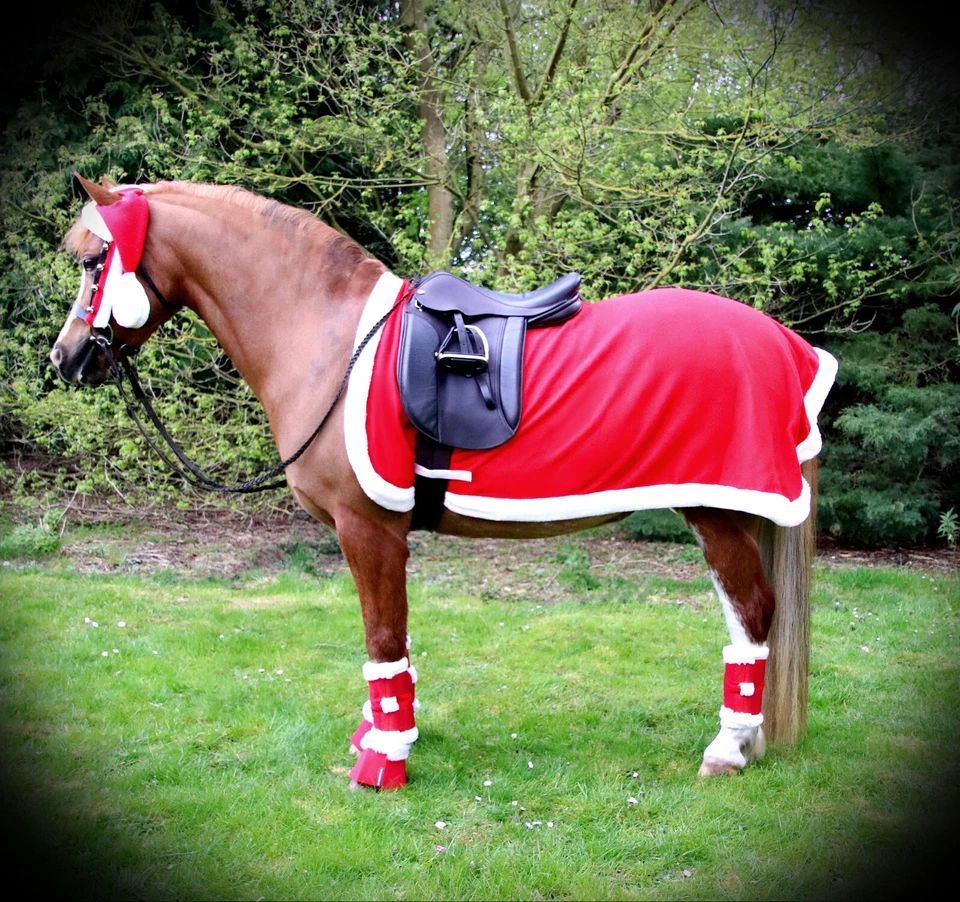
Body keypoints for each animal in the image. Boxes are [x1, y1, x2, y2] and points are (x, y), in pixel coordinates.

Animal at [50, 174, 837, 789]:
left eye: (93, 261)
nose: (64, 359)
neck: (326, 336)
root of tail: (787, 344)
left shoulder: (369, 528)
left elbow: (383, 638)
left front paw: (384, 761)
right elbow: (381, 645)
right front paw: (379, 735)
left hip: (713, 508)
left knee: (753, 612)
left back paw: (727, 750)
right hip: (722, 510)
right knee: (741, 618)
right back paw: (747, 739)